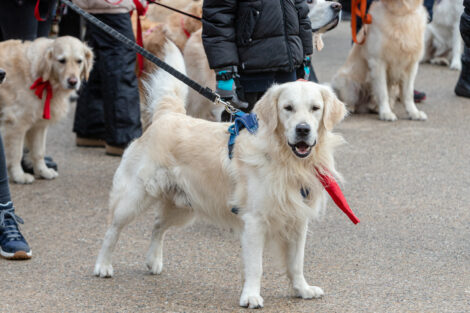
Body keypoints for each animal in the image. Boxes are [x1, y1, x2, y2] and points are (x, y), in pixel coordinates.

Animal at [0, 36, 93, 183]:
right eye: (62, 60)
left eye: (79, 61)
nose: (73, 82)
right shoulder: (15, 124)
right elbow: (16, 154)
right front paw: (19, 175)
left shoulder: (39, 125)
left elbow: (38, 152)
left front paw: (43, 171)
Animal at [93, 74, 346, 308]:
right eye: (288, 108)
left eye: (315, 108)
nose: (303, 129)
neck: (286, 159)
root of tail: (168, 115)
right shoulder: (255, 221)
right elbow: (256, 265)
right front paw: (251, 296)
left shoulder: (297, 219)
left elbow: (296, 262)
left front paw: (302, 289)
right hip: (135, 196)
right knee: (112, 229)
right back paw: (103, 265)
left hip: (183, 207)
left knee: (157, 226)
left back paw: (153, 261)